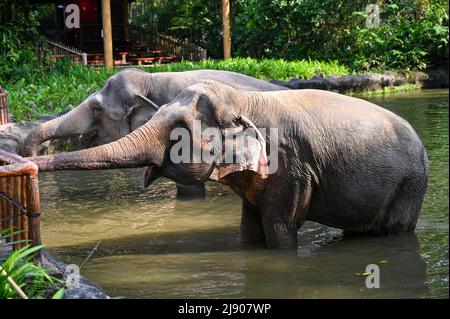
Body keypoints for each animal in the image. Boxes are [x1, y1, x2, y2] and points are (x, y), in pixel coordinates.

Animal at [28, 80, 428, 250]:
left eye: (178, 131)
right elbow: (249, 227)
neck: (244, 101)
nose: (25, 162)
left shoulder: (291, 167)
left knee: (395, 230)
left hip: (410, 185)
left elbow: (279, 227)